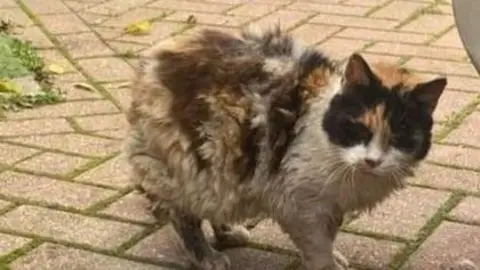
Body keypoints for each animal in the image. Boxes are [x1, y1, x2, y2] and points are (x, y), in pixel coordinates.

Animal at [124, 25, 450, 270]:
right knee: (181, 215)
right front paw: (327, 264)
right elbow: (317, 246)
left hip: (220, 169)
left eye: (399, 137)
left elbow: (328, 237)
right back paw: (206, 256)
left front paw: (334, 256)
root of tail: (151, 60)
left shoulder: (330, 206)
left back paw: (228, 231)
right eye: (359, 129)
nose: (373, 160)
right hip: (186, 166)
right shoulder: (299, 204)